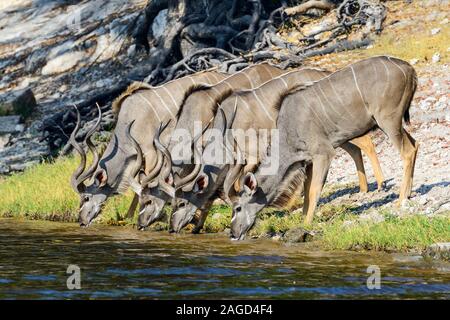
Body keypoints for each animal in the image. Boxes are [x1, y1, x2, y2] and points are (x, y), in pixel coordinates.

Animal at [68, 69, 227, 228]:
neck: (129, 120)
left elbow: (145, 183)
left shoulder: (151, 153)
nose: (81, 221)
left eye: (86, 198)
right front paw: (129, 217)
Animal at [167, 68, 384, 232]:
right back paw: (364, 188)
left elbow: (237, 186)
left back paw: (379, 185)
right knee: (355, 149)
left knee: (366, 142)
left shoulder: (252, 156)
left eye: (181, 203)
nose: (172, 228)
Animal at [232, 55, 418, 240]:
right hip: (391, 124)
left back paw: (401, 199)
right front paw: (303, 221)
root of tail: (409, 68)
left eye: (238, 208)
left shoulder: (324, 153)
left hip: (388, 120)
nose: (233, 233)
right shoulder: (308, 161)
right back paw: (408, 193)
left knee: (408, 151)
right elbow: (306, 191)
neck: (288, 131)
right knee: (415, 144)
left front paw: (307, 223)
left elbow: (314, 189)